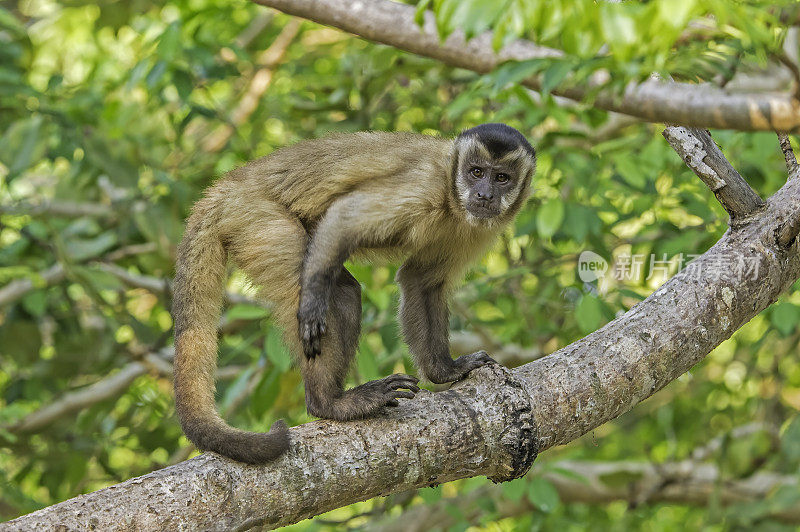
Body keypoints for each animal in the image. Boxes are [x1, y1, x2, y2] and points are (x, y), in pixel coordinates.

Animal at [175, 122, 536, 464]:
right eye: (476, 171)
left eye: (501, 178)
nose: (484, 194)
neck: (451, 190)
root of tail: (227, 186)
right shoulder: (425, 186)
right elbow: (343, 218)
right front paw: (312, 302)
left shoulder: (474, 228)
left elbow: (421, 281)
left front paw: (445, 371)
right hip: (253, 217)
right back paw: (328, 403)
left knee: (345, 293)